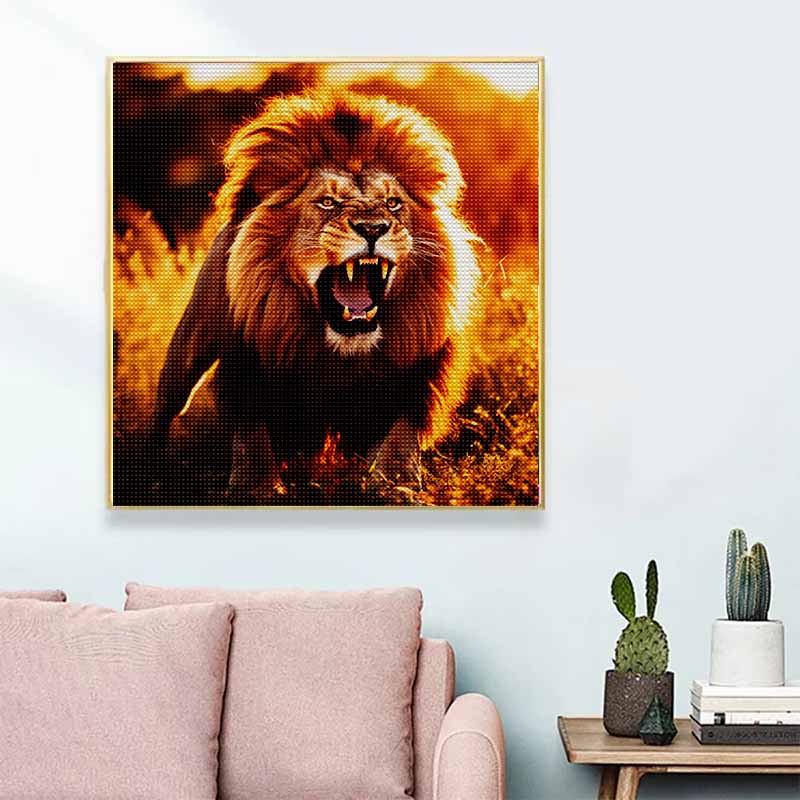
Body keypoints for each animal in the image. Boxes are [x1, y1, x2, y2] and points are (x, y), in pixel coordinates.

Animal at [150, 91, 480, 498]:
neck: (340, 347)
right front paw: (256, 488)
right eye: (327, 202)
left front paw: (397, 485)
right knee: (166, 408)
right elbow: (252, 443)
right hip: (187, 351)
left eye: (393, 203)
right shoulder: (247, 371)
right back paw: (151, 470)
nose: (374, 227)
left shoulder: (411, 383)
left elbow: (398, 445)